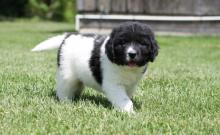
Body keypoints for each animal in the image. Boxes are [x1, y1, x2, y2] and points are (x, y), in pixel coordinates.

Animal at [31, 21, 159, 113]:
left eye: (142, 44)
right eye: (123, 43)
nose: (132, 54)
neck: (126, 68)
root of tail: (68, 36)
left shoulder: (131, 85)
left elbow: (127, 96)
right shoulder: (113, 84)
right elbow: (123, 99)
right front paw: (129, 112)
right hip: (66, 74)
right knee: (64, 89)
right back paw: (66, 102)